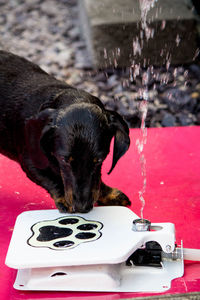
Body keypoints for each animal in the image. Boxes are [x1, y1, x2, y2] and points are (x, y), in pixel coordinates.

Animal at [0, 50, 130, 212]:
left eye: (100, 160)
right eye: (64, 159)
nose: (82, 208)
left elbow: (97, 180)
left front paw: (109, 194)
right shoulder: (30, 161)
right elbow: (52, 179)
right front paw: (63, 199)